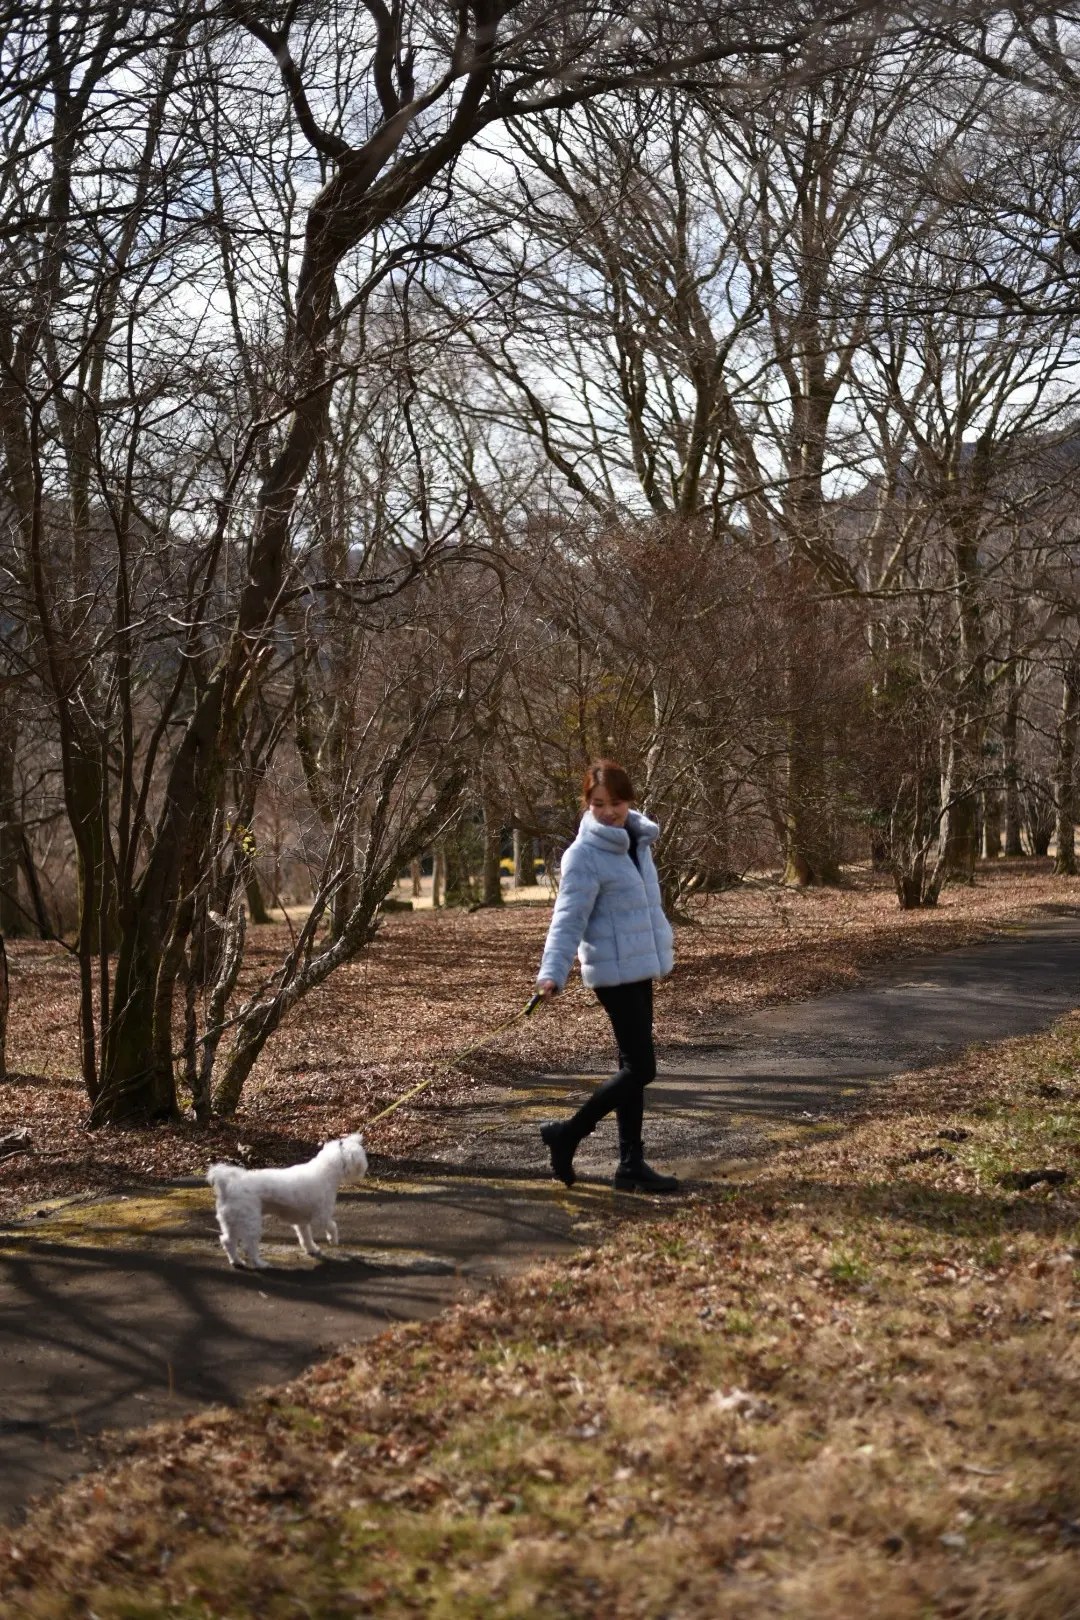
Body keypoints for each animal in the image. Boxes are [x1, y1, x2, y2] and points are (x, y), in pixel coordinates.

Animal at [208, 1134, 369, 1270]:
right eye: (362, 1156)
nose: (365, 1168)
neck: (326, 1171)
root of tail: (228, 1186)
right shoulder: (321, 1217)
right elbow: (332, 1226)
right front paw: (333, 1240)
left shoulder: (302, 1222)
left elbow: (305, 1237)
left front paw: (312, 1249)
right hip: (250, 1223)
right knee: (249, 1247)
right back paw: (260, 1264)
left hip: (231, 1222)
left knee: (227, 1241)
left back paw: (236, 1261)